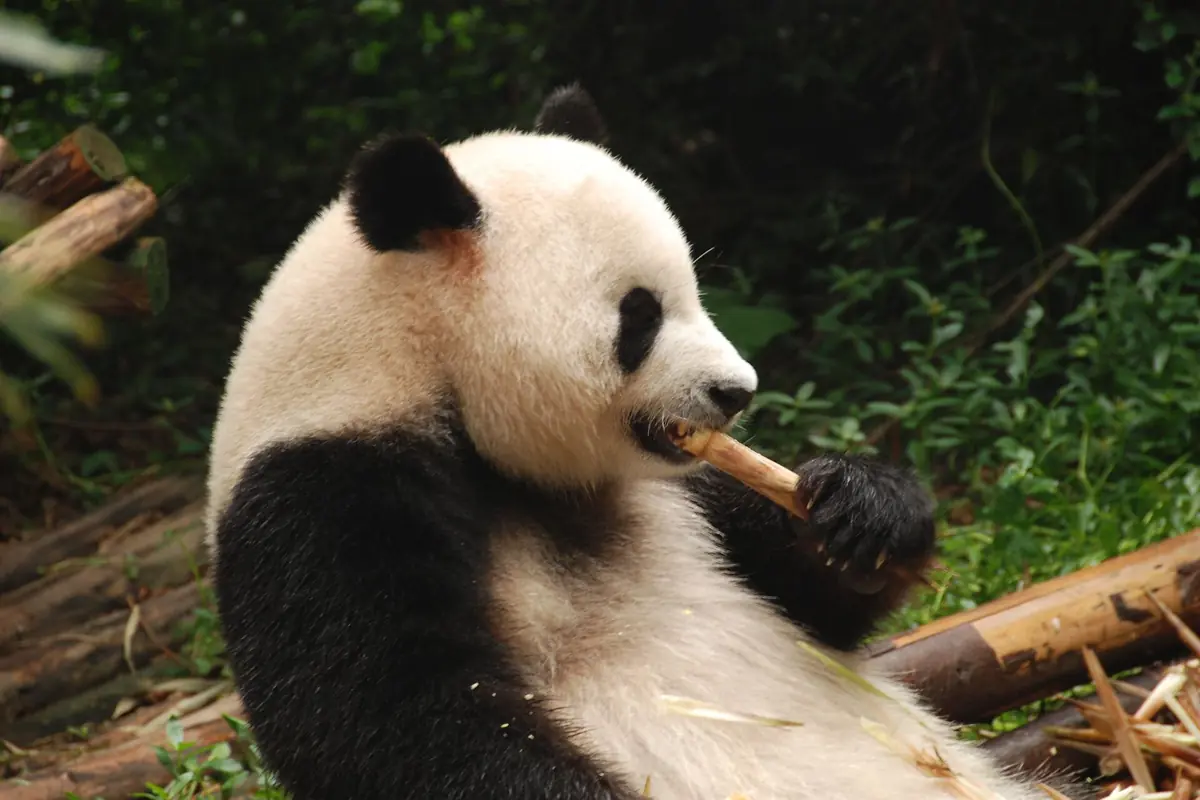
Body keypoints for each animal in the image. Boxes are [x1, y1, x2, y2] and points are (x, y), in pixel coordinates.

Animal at [205, 85, 1066, 800]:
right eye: (640, 315)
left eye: (694, 289)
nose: (737, 390)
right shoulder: (325, 496)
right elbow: (389, 720)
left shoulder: (684, 488)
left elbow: (816, 601)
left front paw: (864, 510)